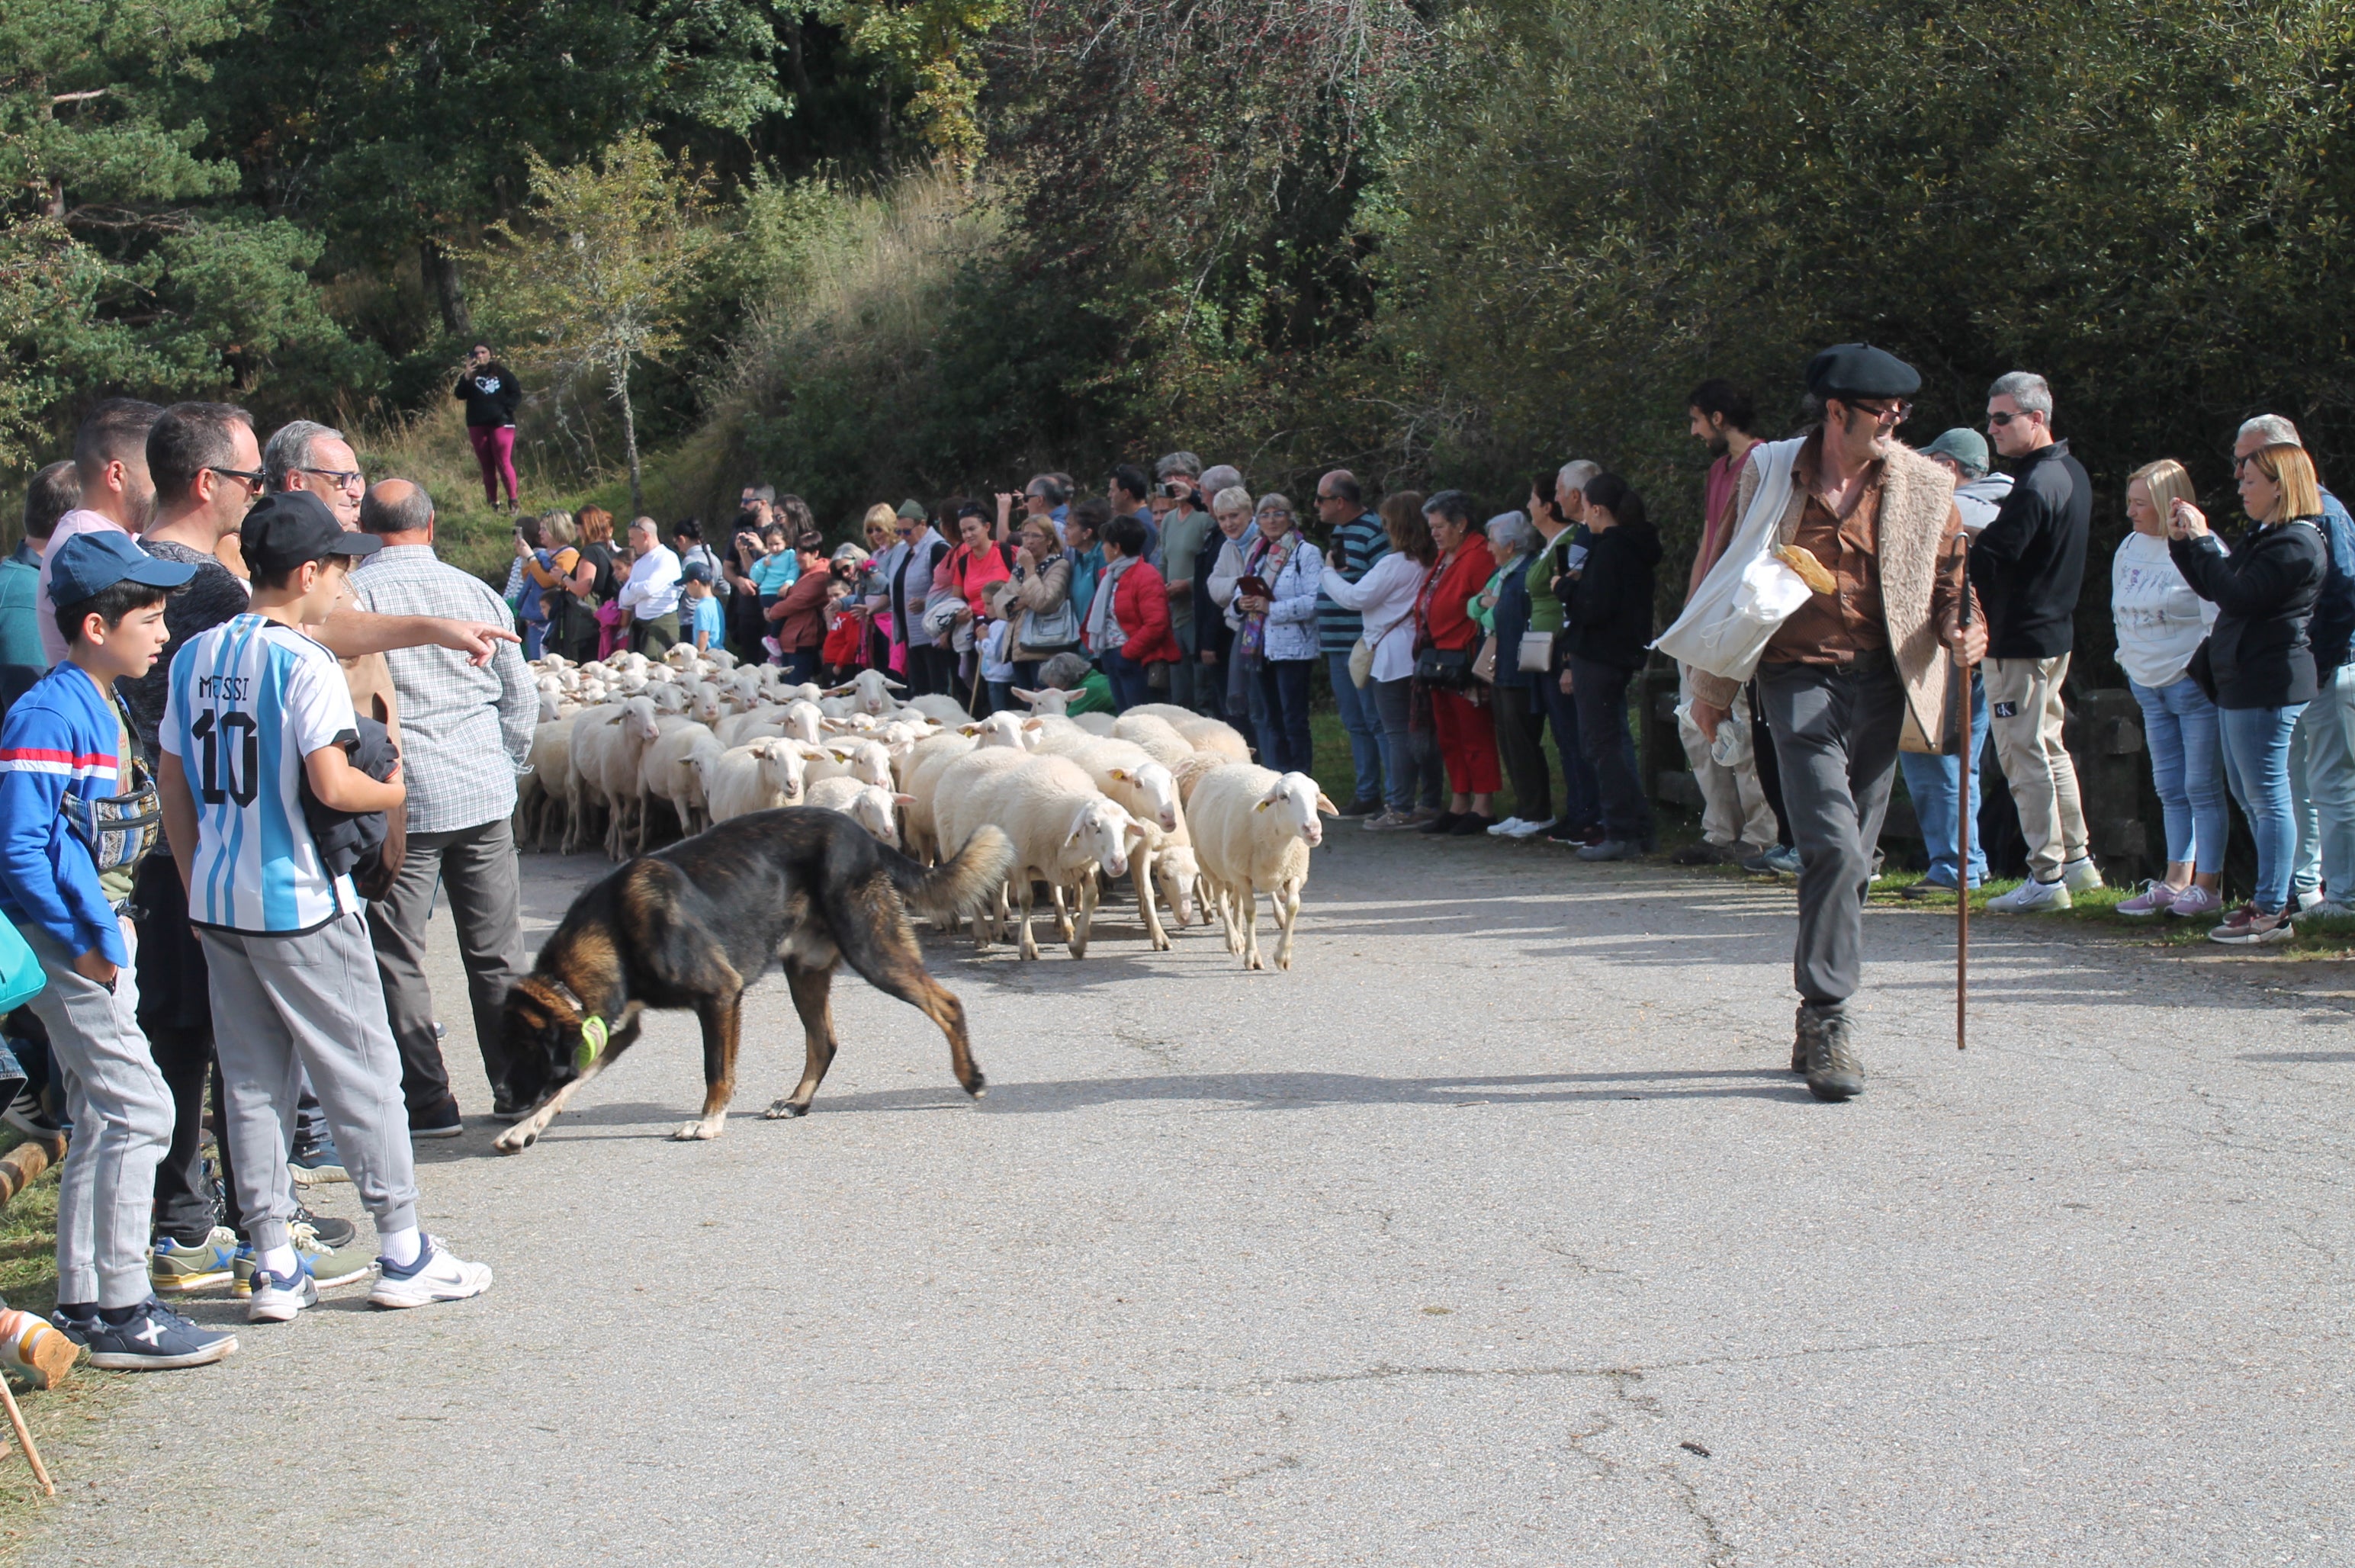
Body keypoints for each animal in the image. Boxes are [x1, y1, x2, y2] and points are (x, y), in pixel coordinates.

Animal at [496, 805, 1012, 1149]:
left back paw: (971, 1078)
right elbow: (566, 1087)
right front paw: (525, 1127)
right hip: (805, 970)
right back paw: (797, 1102)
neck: (614, 929)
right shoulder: (620, 1029)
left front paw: (708, 1123)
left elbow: (716, 1071)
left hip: (873, 951)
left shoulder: (720, 996)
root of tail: (864, 837)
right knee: (824, 1041)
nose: (501, 1096)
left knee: (947, 1004)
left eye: (524, 1048)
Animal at [1187, 758, 1337, 965]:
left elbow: (1293, 905)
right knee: (1222, 899)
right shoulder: (1242, 875)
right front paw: (1252, 956)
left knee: (1237, 899)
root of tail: (1222, 766)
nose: (1313, 830)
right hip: (1208, 863)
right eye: (1283, 797)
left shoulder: (1294, 872)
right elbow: (1251, 911)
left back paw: (1241, 931)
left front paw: (1283, 955)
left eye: (1316, 796)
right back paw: (1233, 939)